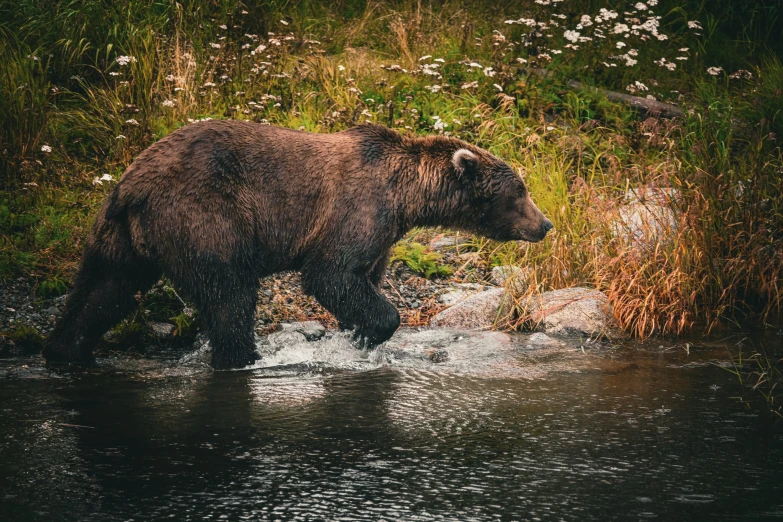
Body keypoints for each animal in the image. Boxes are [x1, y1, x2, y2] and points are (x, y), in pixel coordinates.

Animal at [41, 120, 552, 368]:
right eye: (520, 190)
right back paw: (243, 359)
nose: (545, 223)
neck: (406, 197)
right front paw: (372, 330)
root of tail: (132, 183)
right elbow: (331, 274)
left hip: (119, 235)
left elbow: (362, 279)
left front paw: (356, 335)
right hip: (202, 217)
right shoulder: (356, 209)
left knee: (101, 290)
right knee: (229, 295)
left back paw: (66, 351)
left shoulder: (383, 234)